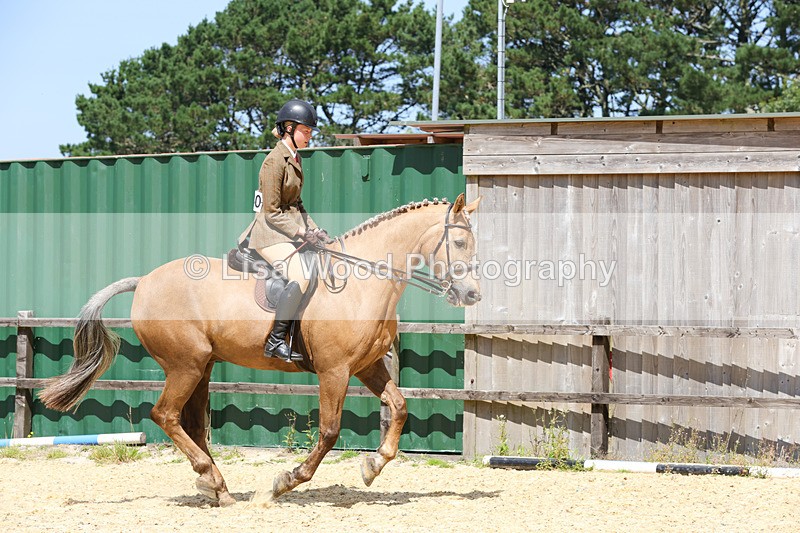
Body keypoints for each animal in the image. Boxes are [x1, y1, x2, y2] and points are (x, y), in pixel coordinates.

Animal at [40, 193, 482, 506]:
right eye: (459, 241)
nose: (472, 295)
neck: (361, 281)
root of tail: (144, 282)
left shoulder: (367, 366)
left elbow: (400, 408)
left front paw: (372, 466)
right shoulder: (335, 371)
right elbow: (329, 432)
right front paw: (283, 483)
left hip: (202, 367)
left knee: (192, 424)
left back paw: (215, 487)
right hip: (185, 365)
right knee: (165, 415)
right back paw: (212, 479)